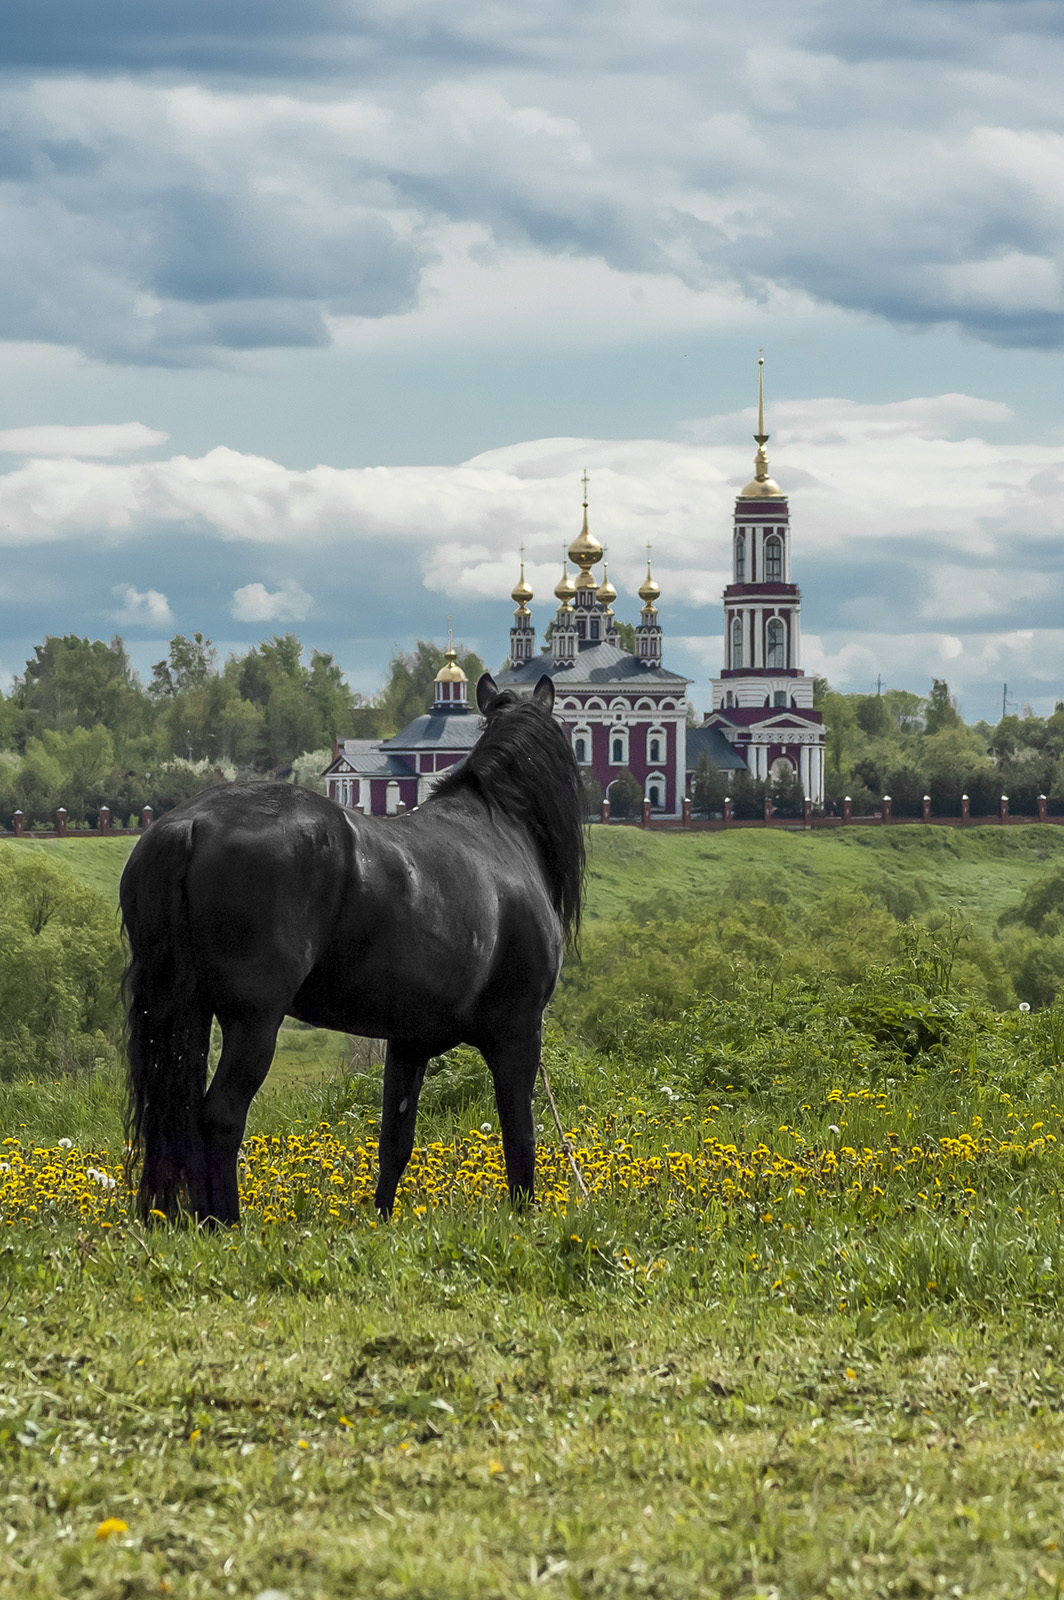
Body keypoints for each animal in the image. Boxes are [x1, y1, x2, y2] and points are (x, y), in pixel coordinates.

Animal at [120, 675, 582, 1222]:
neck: (499, 829)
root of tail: (188, 825)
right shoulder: (518, 1033)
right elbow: (520, 1140)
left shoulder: (409, 1042)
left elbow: (395, 1142)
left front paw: (381, 1221)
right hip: (253, 1022)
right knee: (221, 1117)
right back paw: (227, 1225)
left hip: (185, 1013)